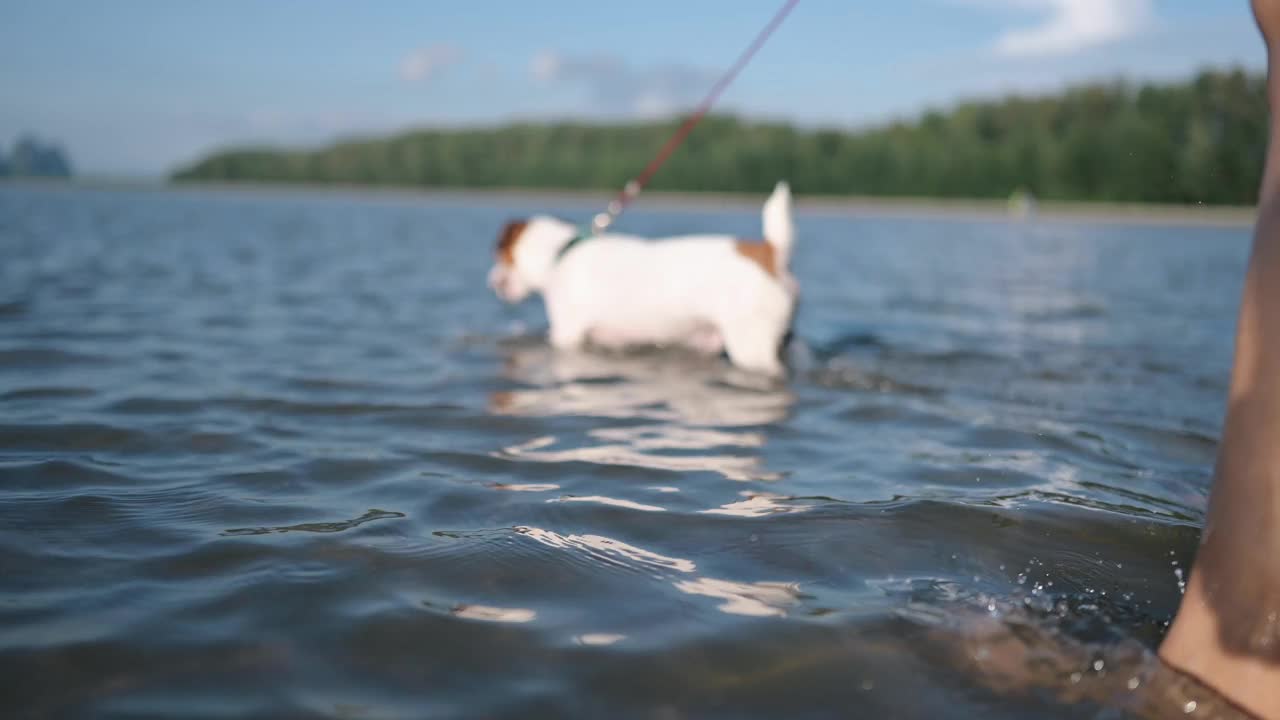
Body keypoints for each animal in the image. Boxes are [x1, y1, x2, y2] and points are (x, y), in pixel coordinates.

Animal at [486, 180, 793, 376]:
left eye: (500, 255)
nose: (491, 282)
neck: (560, 253)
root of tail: (770, 252)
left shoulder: (566, 333)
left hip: (751, 346)